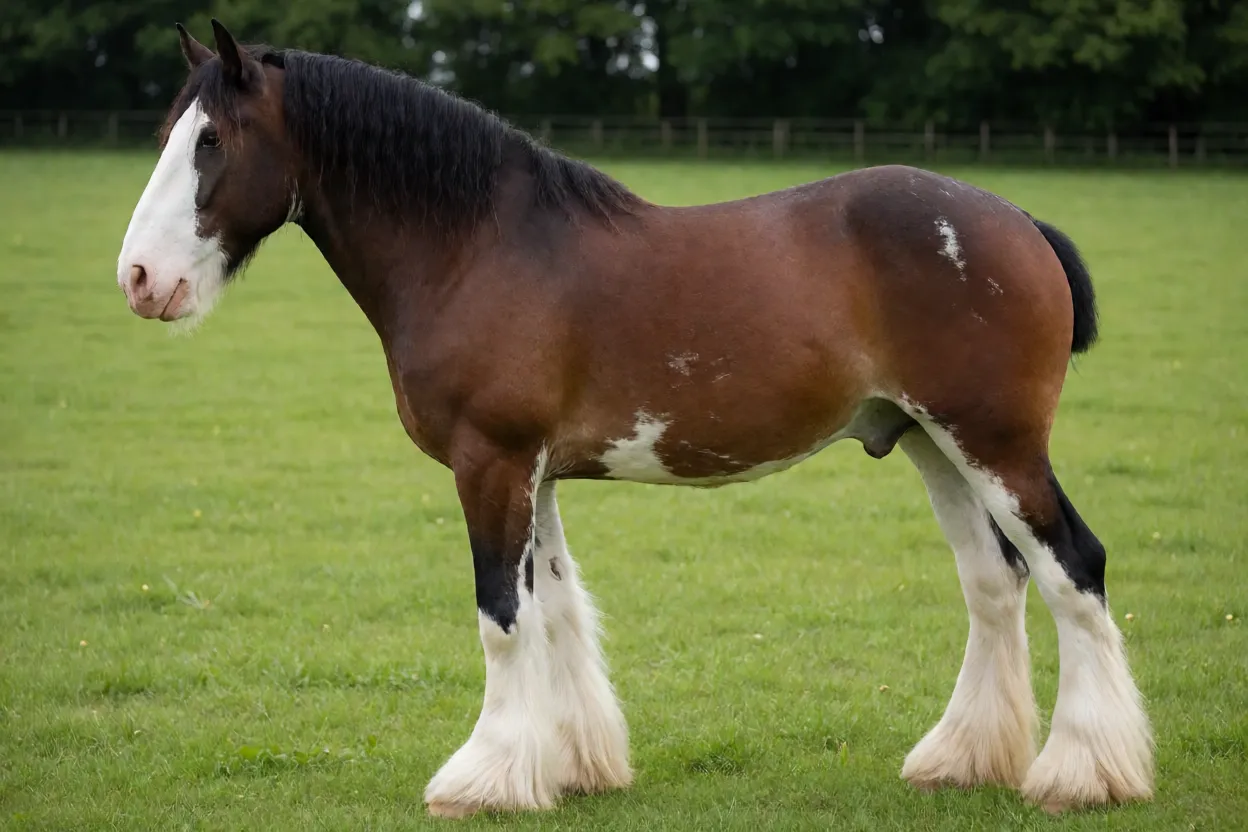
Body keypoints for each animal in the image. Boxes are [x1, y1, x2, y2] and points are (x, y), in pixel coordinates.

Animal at [115, 20, 1154, 818]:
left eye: (212, 141)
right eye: (169, 131)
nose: (140, 279)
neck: (478, 245)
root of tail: (1017, 221)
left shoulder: (490, 463)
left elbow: (502, 617)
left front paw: (484, 779)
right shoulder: (532, 471)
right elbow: (556, 607)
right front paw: (570, 765)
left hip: (999, 446)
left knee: (1074, 570)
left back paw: (1084, 775)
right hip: (934, 444)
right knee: (994, 583)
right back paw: (963, 759)